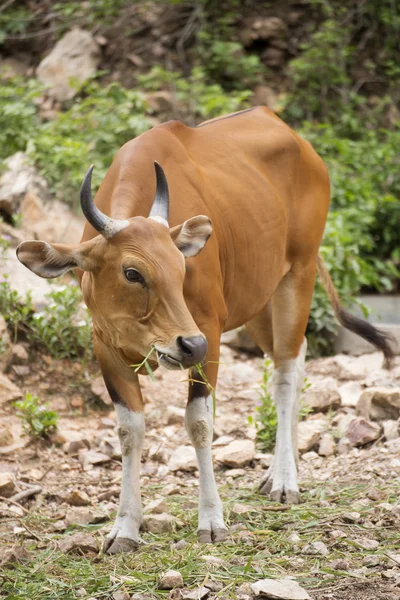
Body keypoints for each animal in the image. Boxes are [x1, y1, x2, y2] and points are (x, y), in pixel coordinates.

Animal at [16, 105, 394, 552]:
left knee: (286, 371)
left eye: (182, 268)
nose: (188, 345)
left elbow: (199, 422)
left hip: (297, 275)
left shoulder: (209, 333)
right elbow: (129, 430)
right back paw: (282, 468)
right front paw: (125, 527)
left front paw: (212, 520)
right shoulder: (105, 344)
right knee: (295, 357)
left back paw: (285, 479)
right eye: (132, 272)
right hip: (258, 299)